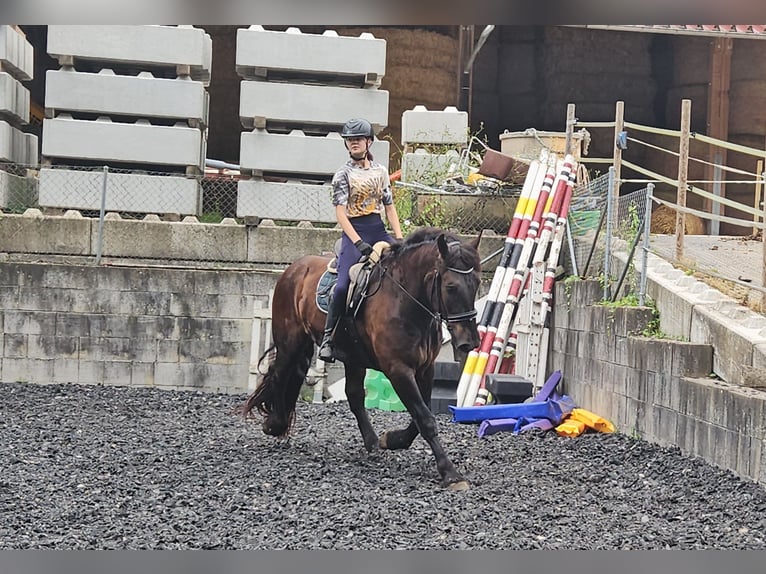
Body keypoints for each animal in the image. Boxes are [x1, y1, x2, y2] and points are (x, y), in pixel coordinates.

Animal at [243, 228, 484, 490]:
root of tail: (293, 268)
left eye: (477, 283)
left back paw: (372, 442)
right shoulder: (398, 369)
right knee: (280, 374)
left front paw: (392, 439)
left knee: (353, 395)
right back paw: (274, 424)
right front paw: (450, 473)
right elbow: (424, 418)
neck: (405, 299)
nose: (470, 342)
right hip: (290, 341)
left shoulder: (425, 368)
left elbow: (421, 416)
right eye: (450, 287)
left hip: (352, 356)